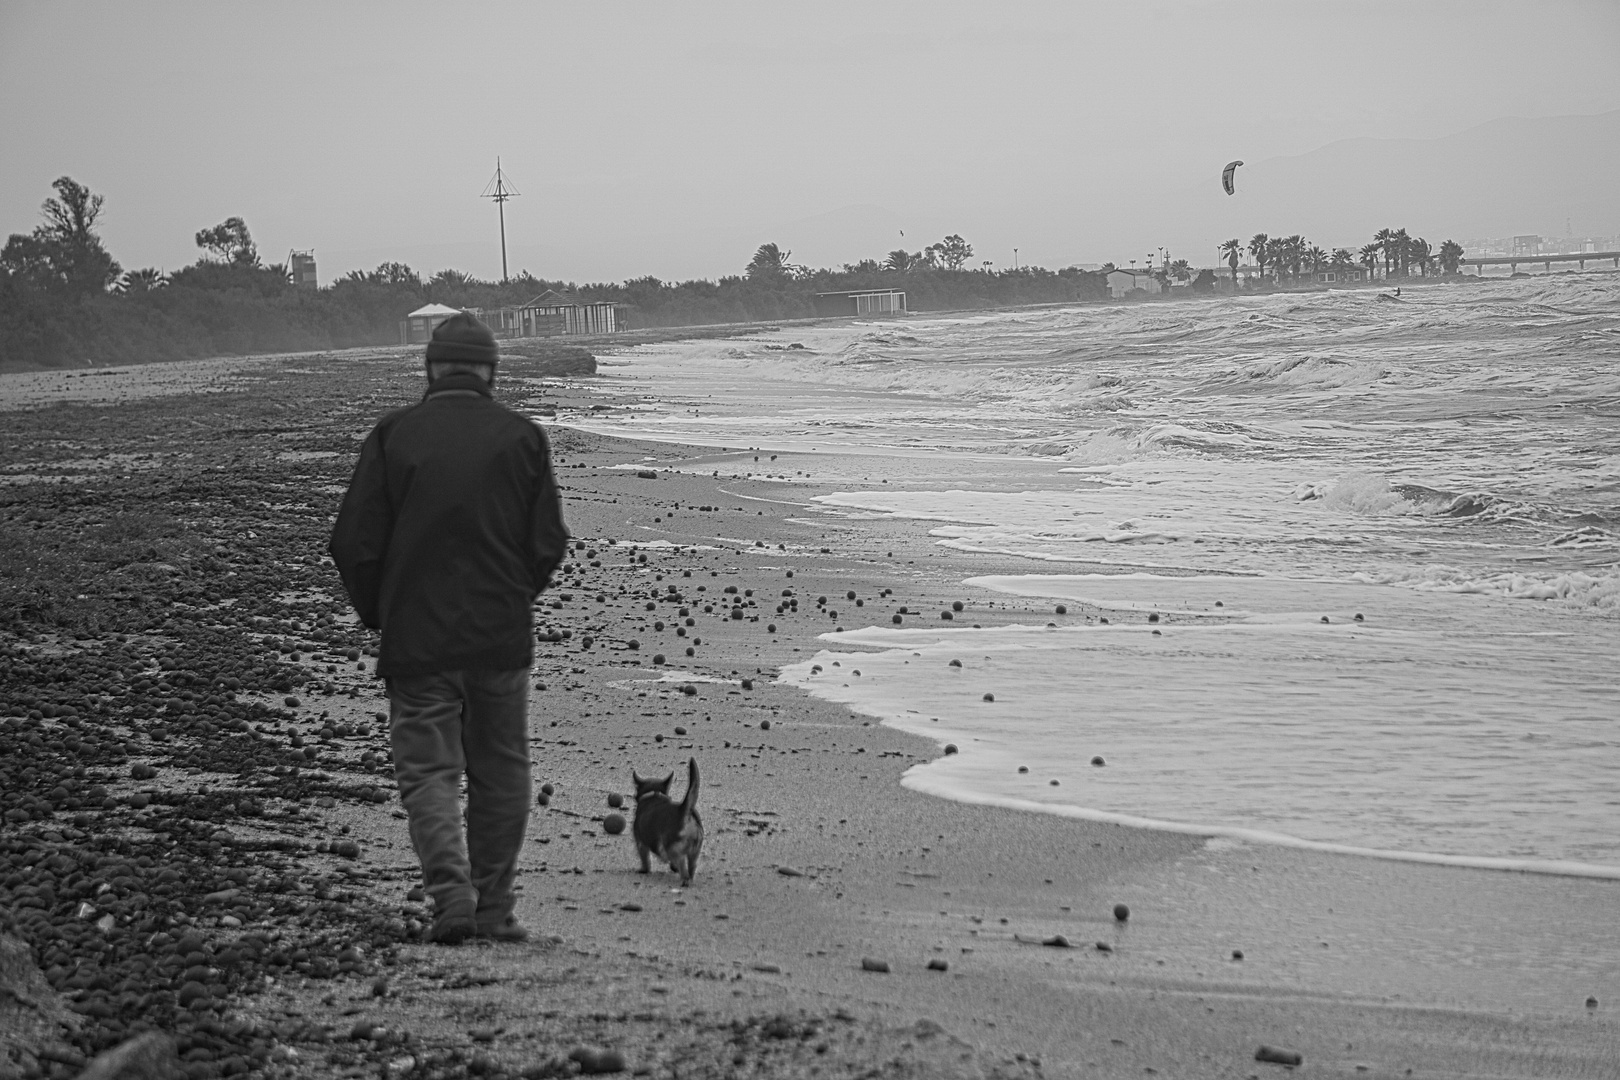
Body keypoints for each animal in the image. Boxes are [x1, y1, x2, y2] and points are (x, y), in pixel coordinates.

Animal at [631, 757, 703, 893]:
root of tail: (684, 812)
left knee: (682, 866)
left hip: (673, 849)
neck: (654, 794)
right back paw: (689, 878)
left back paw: (684, 880)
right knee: (691, 867)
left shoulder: (641, 843)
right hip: (695, 851)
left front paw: (644, 870)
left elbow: (645, 860)